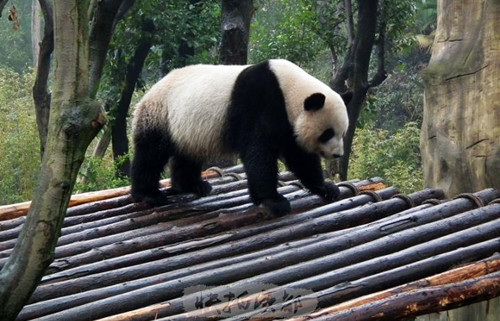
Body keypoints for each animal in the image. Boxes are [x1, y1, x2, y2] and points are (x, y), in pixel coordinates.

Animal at [133, 58, 352, 216]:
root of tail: (151, 89)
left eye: (342, 133)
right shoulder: (261, 103)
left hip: (185, 126)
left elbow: (300, 157)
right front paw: (274, 201)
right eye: (327, 134)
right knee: (151, 153)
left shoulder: (289, 124)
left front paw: (326, 187)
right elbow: (259, 153)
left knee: (187, 154)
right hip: (160, 113)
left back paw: (192, 185)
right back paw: (148, 195)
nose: (337, 155)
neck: (289, 90)